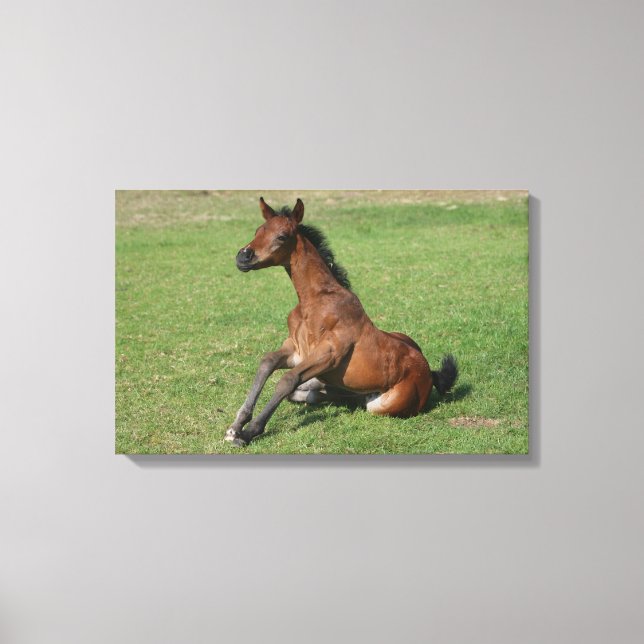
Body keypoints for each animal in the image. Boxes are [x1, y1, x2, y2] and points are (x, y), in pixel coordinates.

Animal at [224, 197, 458, 446]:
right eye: (258, 231)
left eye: (282, 236)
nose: (243, 257)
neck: (313, 302)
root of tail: (428, 372)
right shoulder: (295, 350)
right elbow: (266, 363)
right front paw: (236, 426)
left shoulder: (329, 354)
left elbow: (288, 379)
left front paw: (248, 432)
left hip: (379, 405)